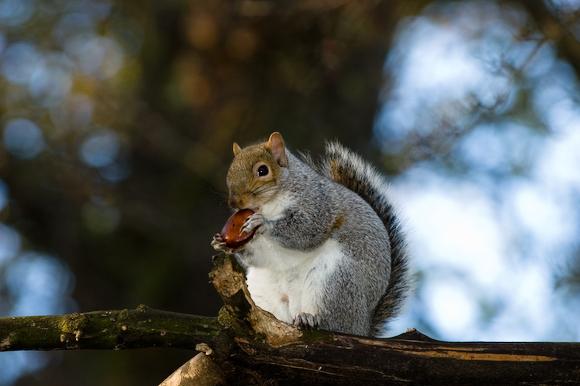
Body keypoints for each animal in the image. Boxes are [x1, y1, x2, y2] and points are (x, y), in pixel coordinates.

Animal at [212, 131, 408, 336]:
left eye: (262, 170)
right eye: (230, 171)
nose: (234, 203)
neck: (269, 204)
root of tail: (362, 327)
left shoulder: (319, 206)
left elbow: (306, 230)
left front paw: (263, 223)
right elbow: (260, 256)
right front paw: (222, 243)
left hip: (335, 281)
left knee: (332, 322)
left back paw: (310, 318)